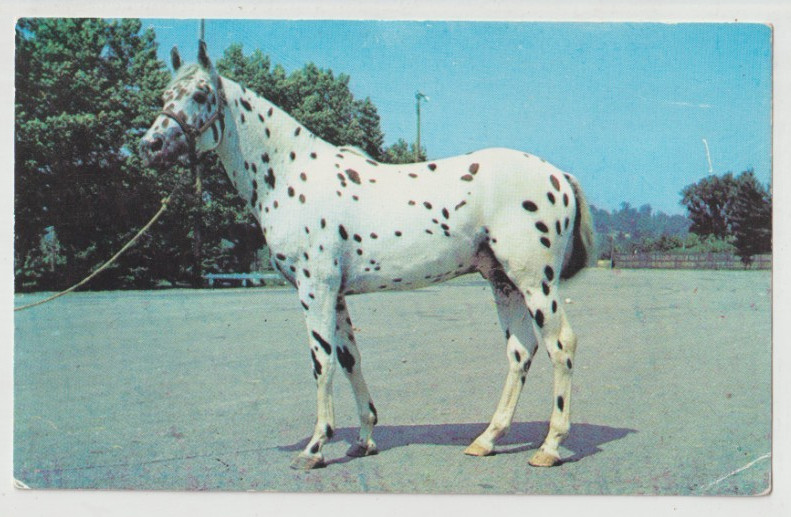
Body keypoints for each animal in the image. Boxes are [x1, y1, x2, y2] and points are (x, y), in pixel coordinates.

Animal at [140, 41, 594, 470]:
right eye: (165, 94)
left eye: (201, 93)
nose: (151, 145)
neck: (291, 176)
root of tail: (558, 175)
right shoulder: (336, 294)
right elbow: (349, 359)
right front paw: (363, 440)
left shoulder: (315, 290)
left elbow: (321, 362)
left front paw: (314, 448)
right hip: (503, 282)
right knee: (521, 351)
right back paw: (487, 439)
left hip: (535, 282)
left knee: (560, 345)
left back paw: (550, 447)